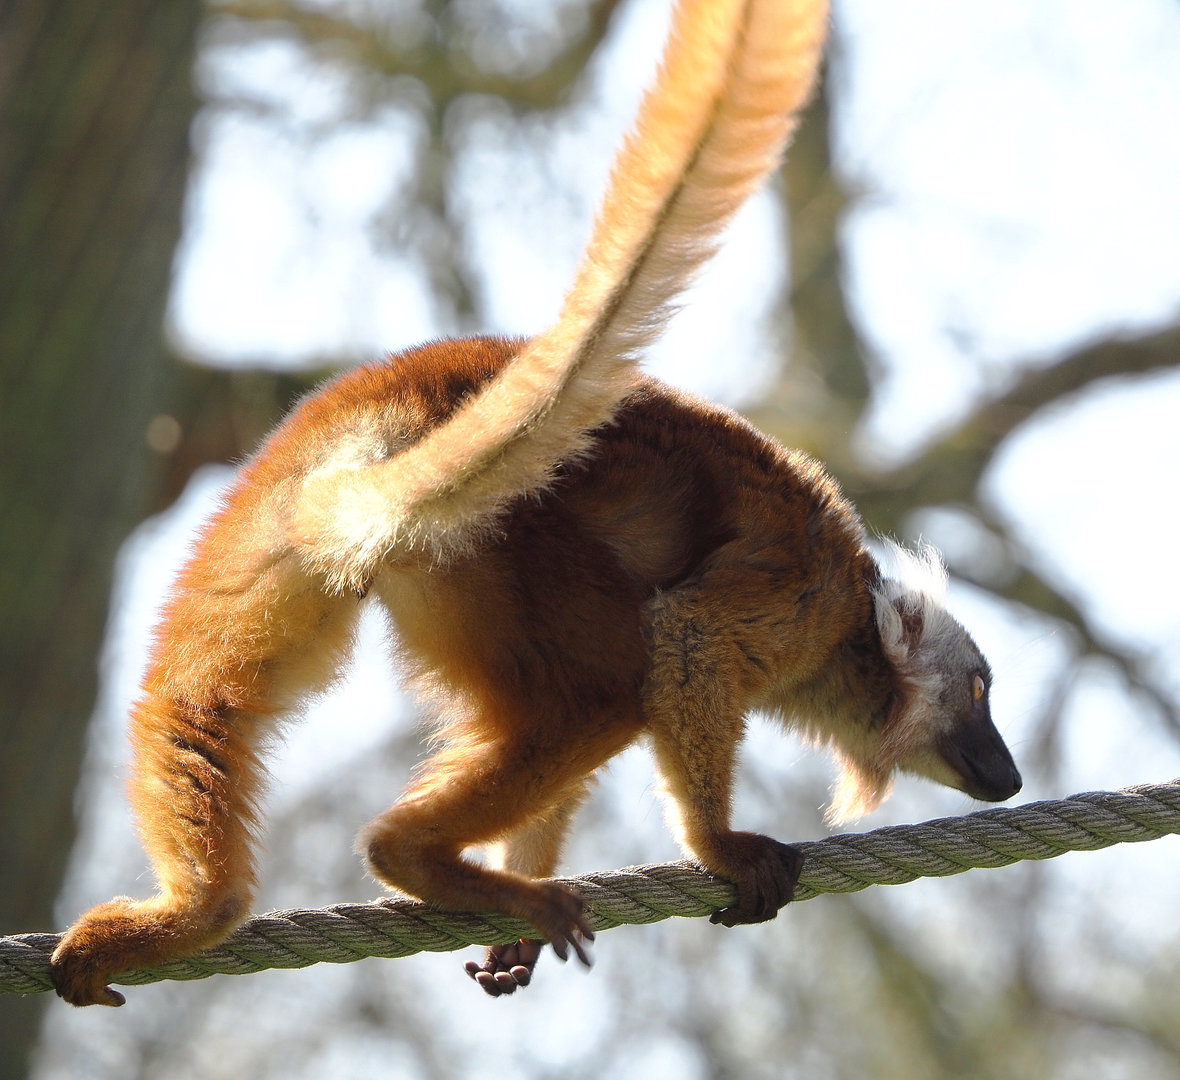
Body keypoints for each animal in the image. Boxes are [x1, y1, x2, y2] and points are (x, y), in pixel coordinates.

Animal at [50, 0, 1021, 1006]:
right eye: (979, 693)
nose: (1009, 771)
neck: (848, 641)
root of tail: (394, 409)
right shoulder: (803, 599)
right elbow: (689, 638)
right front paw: (716, 844)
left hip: (281, 523)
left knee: (198, 705)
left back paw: (199, 912)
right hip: (500, 546)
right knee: (602, 687)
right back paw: (409, 855)